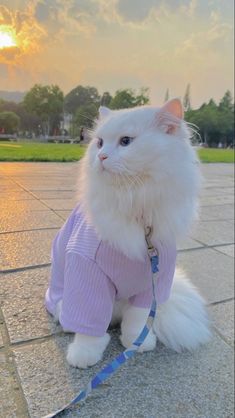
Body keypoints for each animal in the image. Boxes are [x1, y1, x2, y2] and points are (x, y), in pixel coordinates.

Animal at [45, 99, 210, 370]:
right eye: (100, 142)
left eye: (125, 141)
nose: (101, 156)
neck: (135, 202)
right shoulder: (87, 272)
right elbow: (90, 326)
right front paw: (84, 356)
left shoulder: (154, 279)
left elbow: (138, 320)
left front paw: (137, 344)